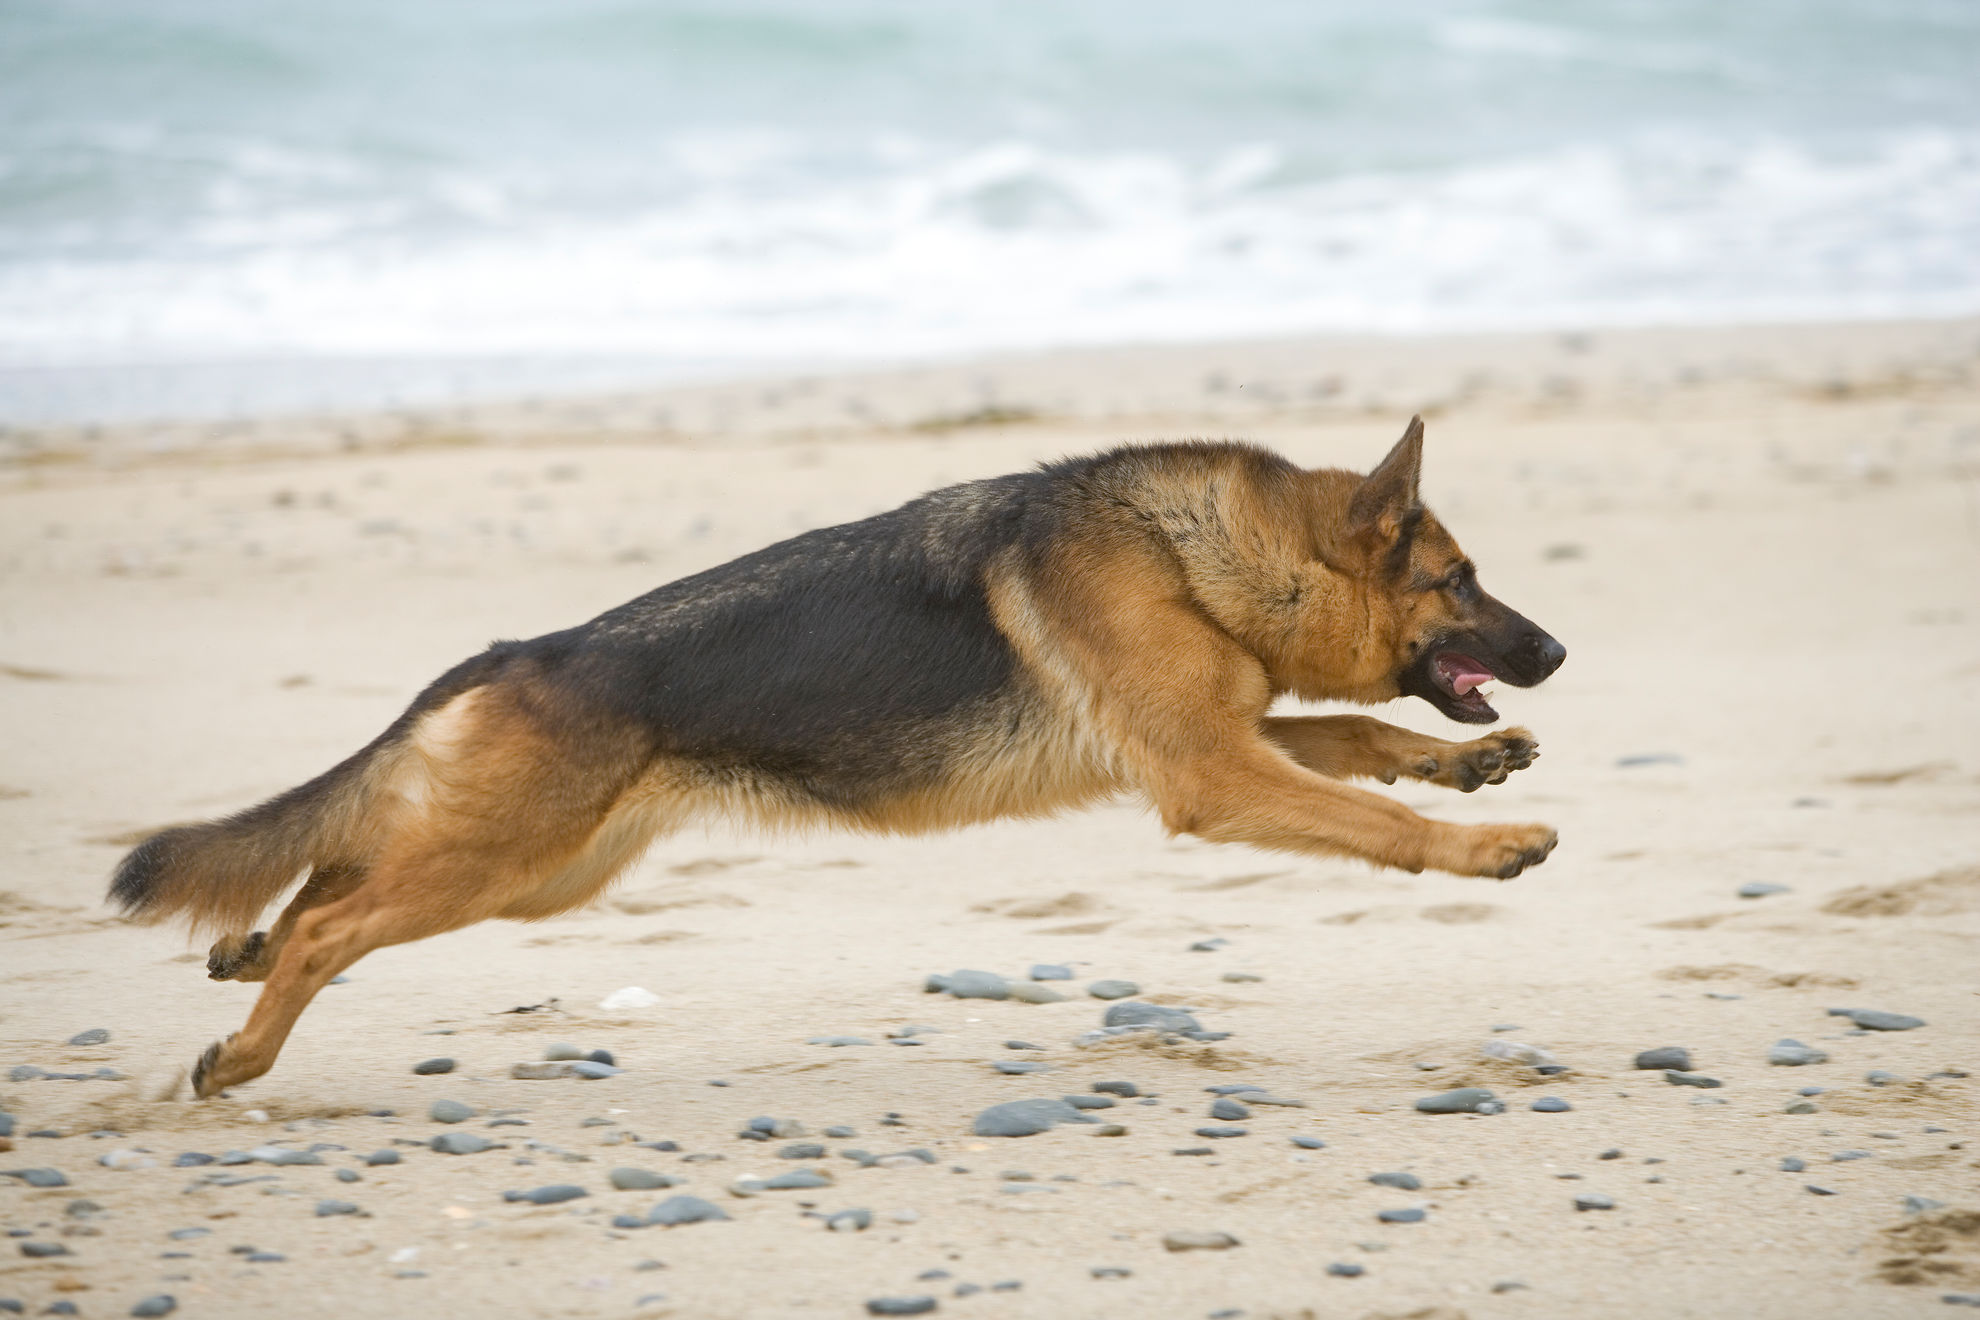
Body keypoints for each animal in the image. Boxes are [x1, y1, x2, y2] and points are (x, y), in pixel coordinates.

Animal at [112, 421, 1560, 1092]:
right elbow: (1371, 818)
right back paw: (246, 1047)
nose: (1554, 649)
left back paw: (246, 951)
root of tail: (520, 650)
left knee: (333, 878)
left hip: (537, 873)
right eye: (1459, 582)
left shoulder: (1215, 743)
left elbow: (1359, 737)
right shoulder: (1210, 773)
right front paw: (1485, 846)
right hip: (502, 864)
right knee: (332, 922)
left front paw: (1466, 774)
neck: (1205, 552)